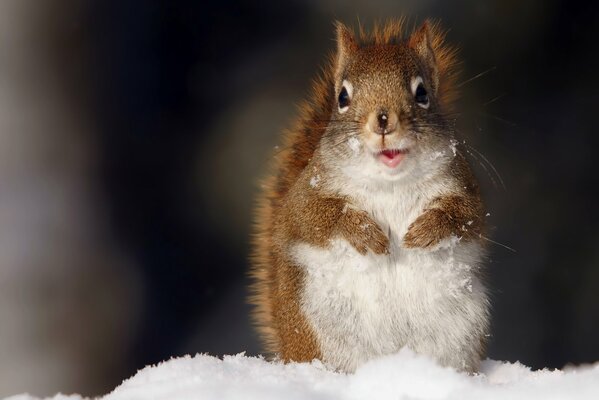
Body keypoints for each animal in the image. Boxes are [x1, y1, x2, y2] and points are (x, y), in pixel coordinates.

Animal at [251, 20, 490, 374]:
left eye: (422, 93)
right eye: (342, 97)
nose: (383, 120)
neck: (388, 182)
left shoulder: (462, 185)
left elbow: (466, 216)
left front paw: (427, 228)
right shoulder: (305, 195)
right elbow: (313, 218)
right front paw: (363, 232)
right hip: (318, 328)